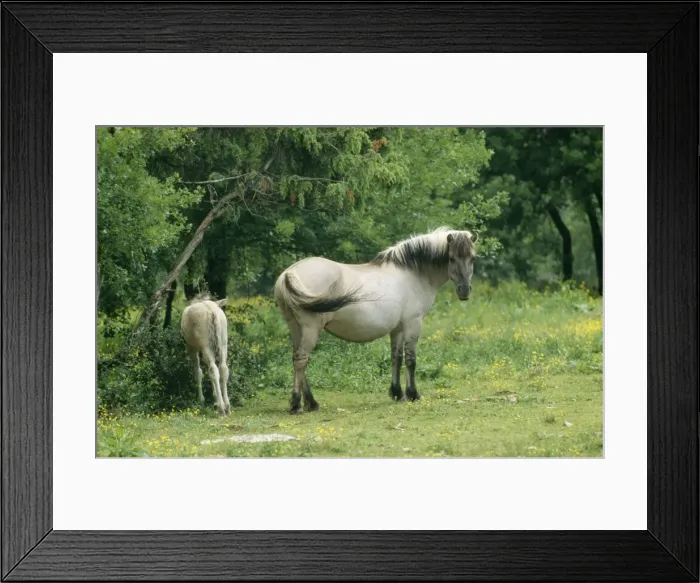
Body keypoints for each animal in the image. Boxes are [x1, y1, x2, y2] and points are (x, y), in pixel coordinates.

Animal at [273, 226, 478, 414]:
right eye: (451, 258)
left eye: (473, 258)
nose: (465, 291)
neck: (412, 273)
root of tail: (289, 274)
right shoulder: (413, 323)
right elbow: (411, 360)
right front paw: (413, 394)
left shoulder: (398, 328)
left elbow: (396, 357)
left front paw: (397, 393)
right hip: (310, 329)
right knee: (301, 360)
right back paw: (297, 404)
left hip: (296, 328)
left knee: (299, 360)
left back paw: (311, 403)